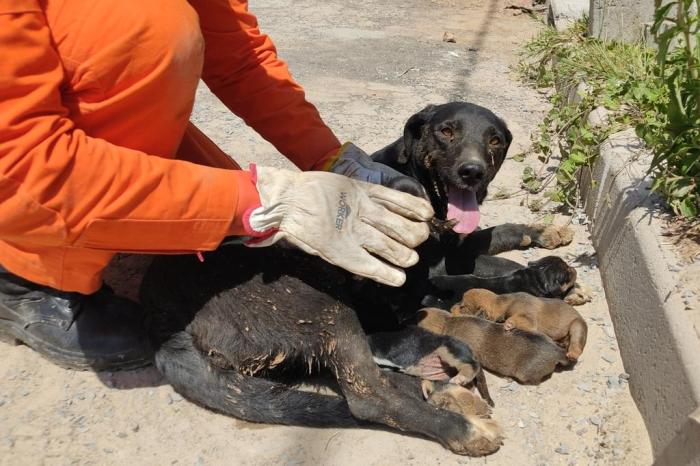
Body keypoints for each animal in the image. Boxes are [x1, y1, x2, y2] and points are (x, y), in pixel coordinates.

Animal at [452, 288, 588, 360]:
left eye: (463, 307)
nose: (451, 307)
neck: (502, 304)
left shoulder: (528, 318)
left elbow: (517, 318)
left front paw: (508, 324)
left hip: (577, 325)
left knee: (576, 342)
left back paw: (572, 353)